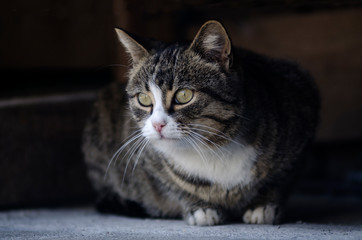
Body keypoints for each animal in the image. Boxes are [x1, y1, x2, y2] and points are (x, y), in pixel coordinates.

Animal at [82, 20, 320, 225]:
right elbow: (172, 186)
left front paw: (264, 206)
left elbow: (280, 179)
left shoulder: (301, 109)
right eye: (144, 99)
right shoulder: (149, 162)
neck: (212, 148)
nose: (158, 125)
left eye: (184, 95)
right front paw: (200, 208)